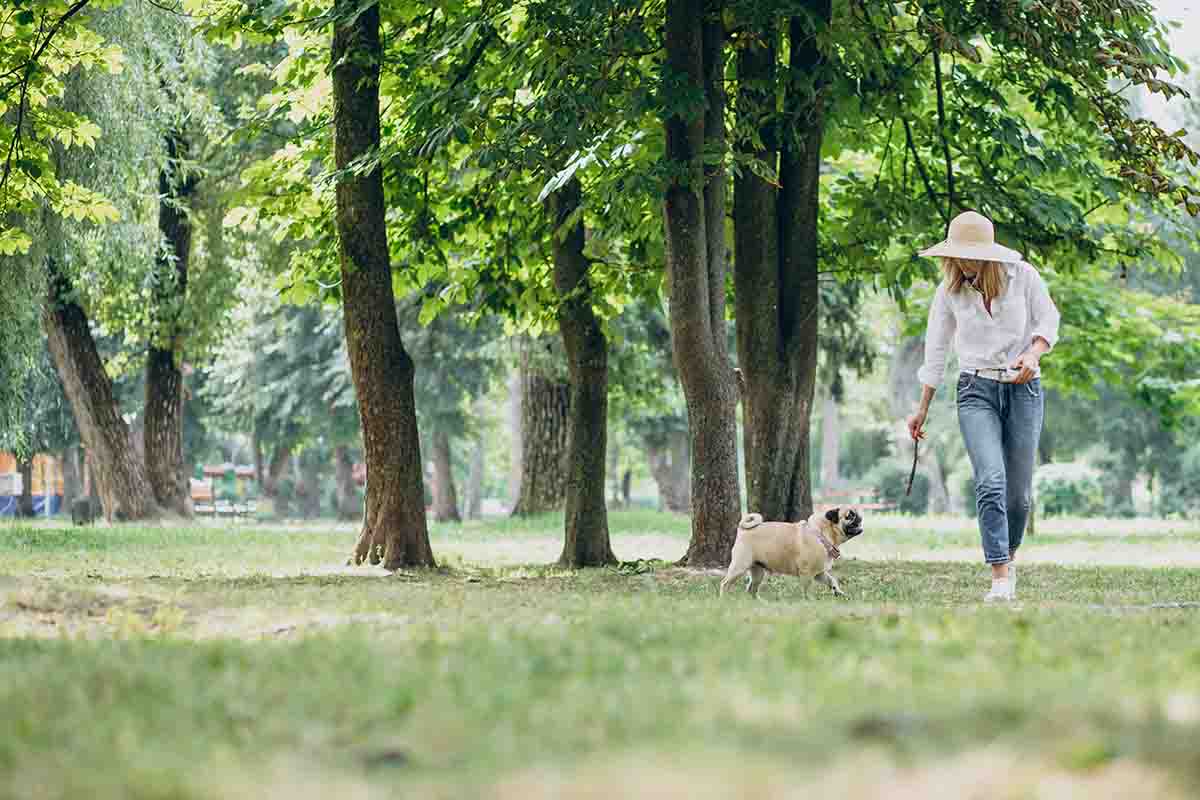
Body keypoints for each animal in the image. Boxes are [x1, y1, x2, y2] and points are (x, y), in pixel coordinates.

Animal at [720, 510, 864, 597]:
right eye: (850, 515)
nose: (859, 516)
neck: (822, 533)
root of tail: (742, 530)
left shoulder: (819, 573)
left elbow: (832, 580)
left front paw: (839, 592)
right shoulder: (807, 573)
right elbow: (806, 589)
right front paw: (808, 600)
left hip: (758, 572)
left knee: (751, 589)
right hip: (740, 566)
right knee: (725, 583)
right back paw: (724, 599)